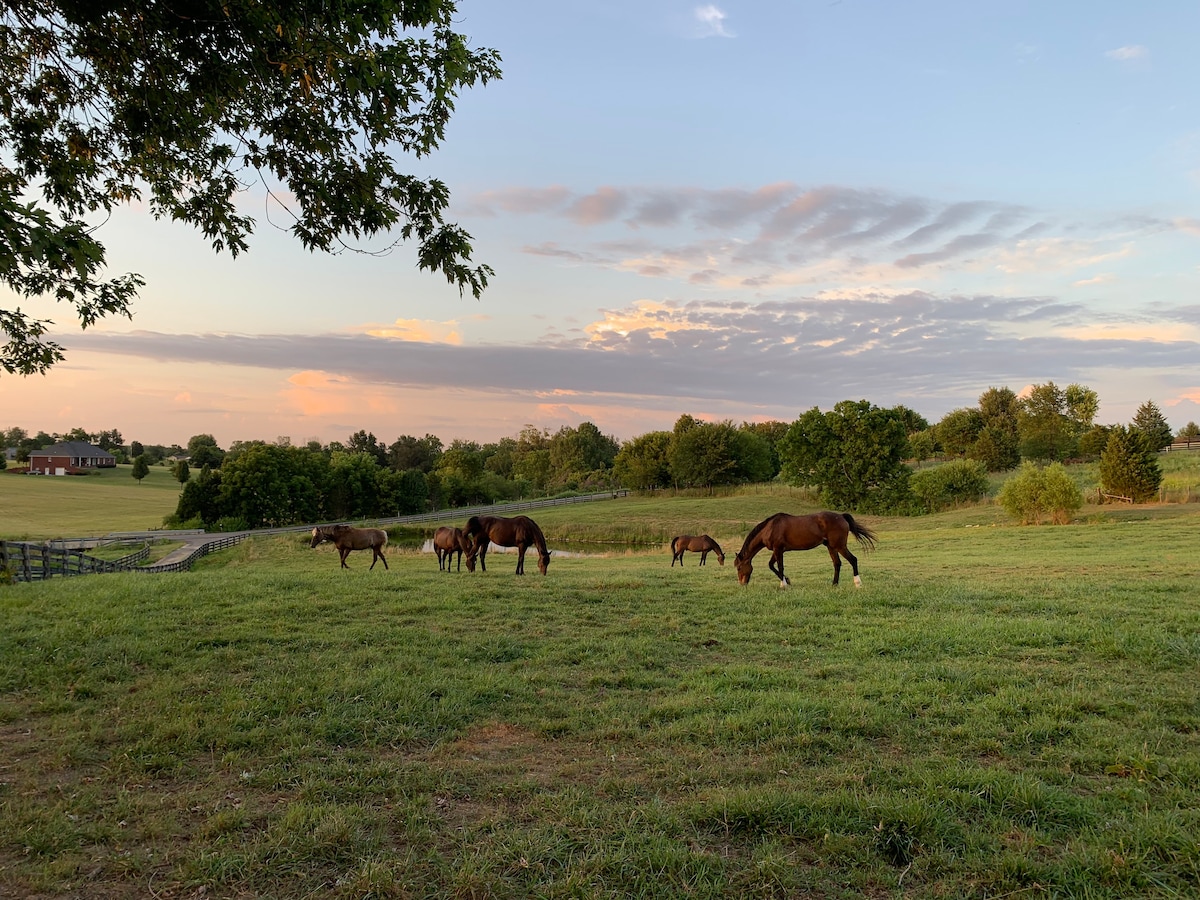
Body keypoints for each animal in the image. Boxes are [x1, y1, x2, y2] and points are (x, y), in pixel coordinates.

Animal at [729, 513, 873, 592]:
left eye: (739, 567)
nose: (742, 583)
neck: (770, 528)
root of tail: (841, 516)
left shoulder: (778, 549)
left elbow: (779, 566)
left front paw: (784, 584)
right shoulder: (777, 550)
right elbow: (771, 565)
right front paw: (786, 581)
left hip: (840, 546)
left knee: (853, 560)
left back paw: (858, 584)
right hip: (831, 547)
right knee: (837, 564)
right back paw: (834, 585)